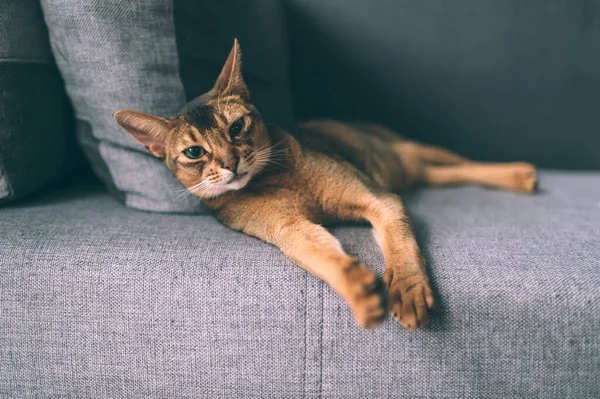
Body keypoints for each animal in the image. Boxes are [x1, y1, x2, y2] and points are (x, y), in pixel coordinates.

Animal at [115, 39, 536, 332]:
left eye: (236, 127)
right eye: (193, 152)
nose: (230, 163)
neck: (273, 179)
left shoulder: (379, 199)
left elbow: (401, 246)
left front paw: (409, 290)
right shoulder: (289, 230)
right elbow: (322, 255)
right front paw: (359, 290)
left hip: (406, 149)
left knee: (462, 164)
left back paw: (519, 174)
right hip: (408, 168)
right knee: (442, 174)